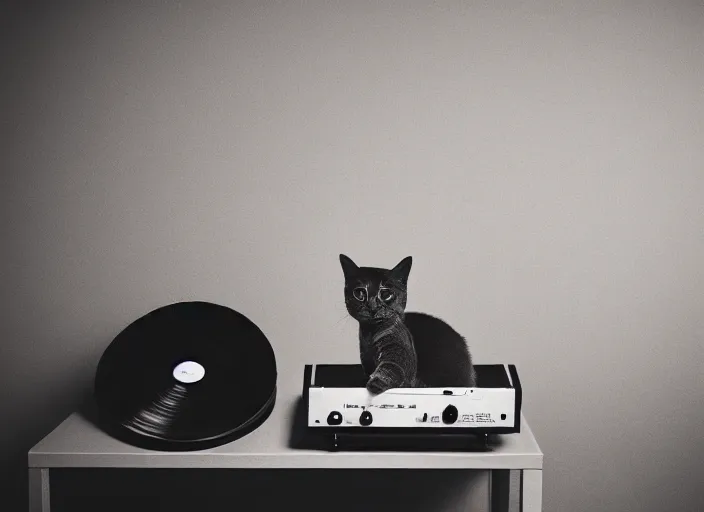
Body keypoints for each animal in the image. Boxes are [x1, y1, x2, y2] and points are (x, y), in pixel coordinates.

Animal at [338, 254, 476, 394]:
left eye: (386, 293)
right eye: (359, 293)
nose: (372, 306)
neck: (370, 335)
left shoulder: (399, 350)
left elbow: (392, 367)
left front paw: (376, 382)